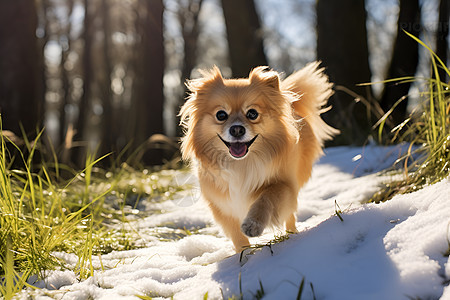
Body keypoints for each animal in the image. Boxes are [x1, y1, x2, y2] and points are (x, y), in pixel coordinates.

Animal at [179, 61, 338, 251]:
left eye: (252, 113)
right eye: (221, 115)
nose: (237, 129)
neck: (241, 164)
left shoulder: (283, 184)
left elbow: (265, 199)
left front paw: (253, 224)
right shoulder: (222, 206)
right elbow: (237, 237)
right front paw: (244, 255)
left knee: (290, 214)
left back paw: (291, 234)